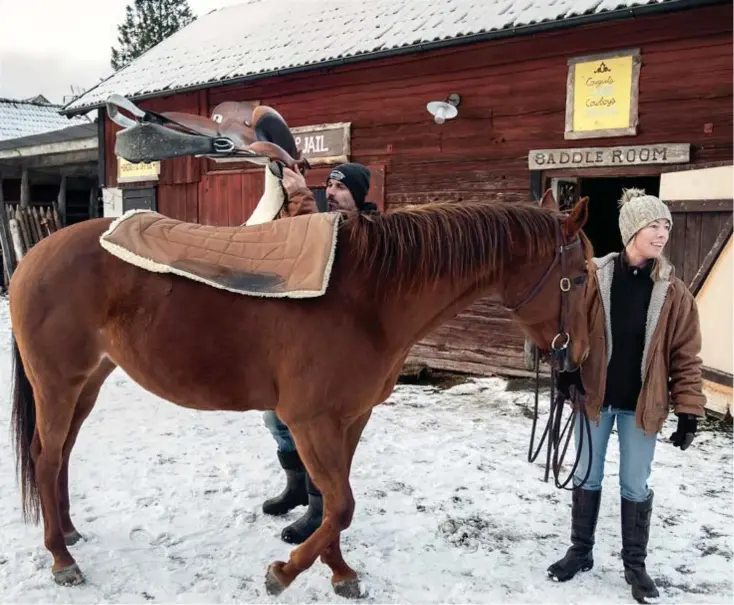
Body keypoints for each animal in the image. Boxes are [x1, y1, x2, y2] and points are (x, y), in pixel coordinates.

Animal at [7, 189, 592, 596]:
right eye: (583, 276)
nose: (581, 356)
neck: (369, 297)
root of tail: (33, 256)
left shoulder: (351, 419)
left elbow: (335, 502)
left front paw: (337, 571)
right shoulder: (311, 421)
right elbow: (341, 504)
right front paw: (284, 572)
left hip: (89, 382)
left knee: (61, 455)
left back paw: (70, 533)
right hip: (57, 384)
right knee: (45, 456)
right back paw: (61, 558)